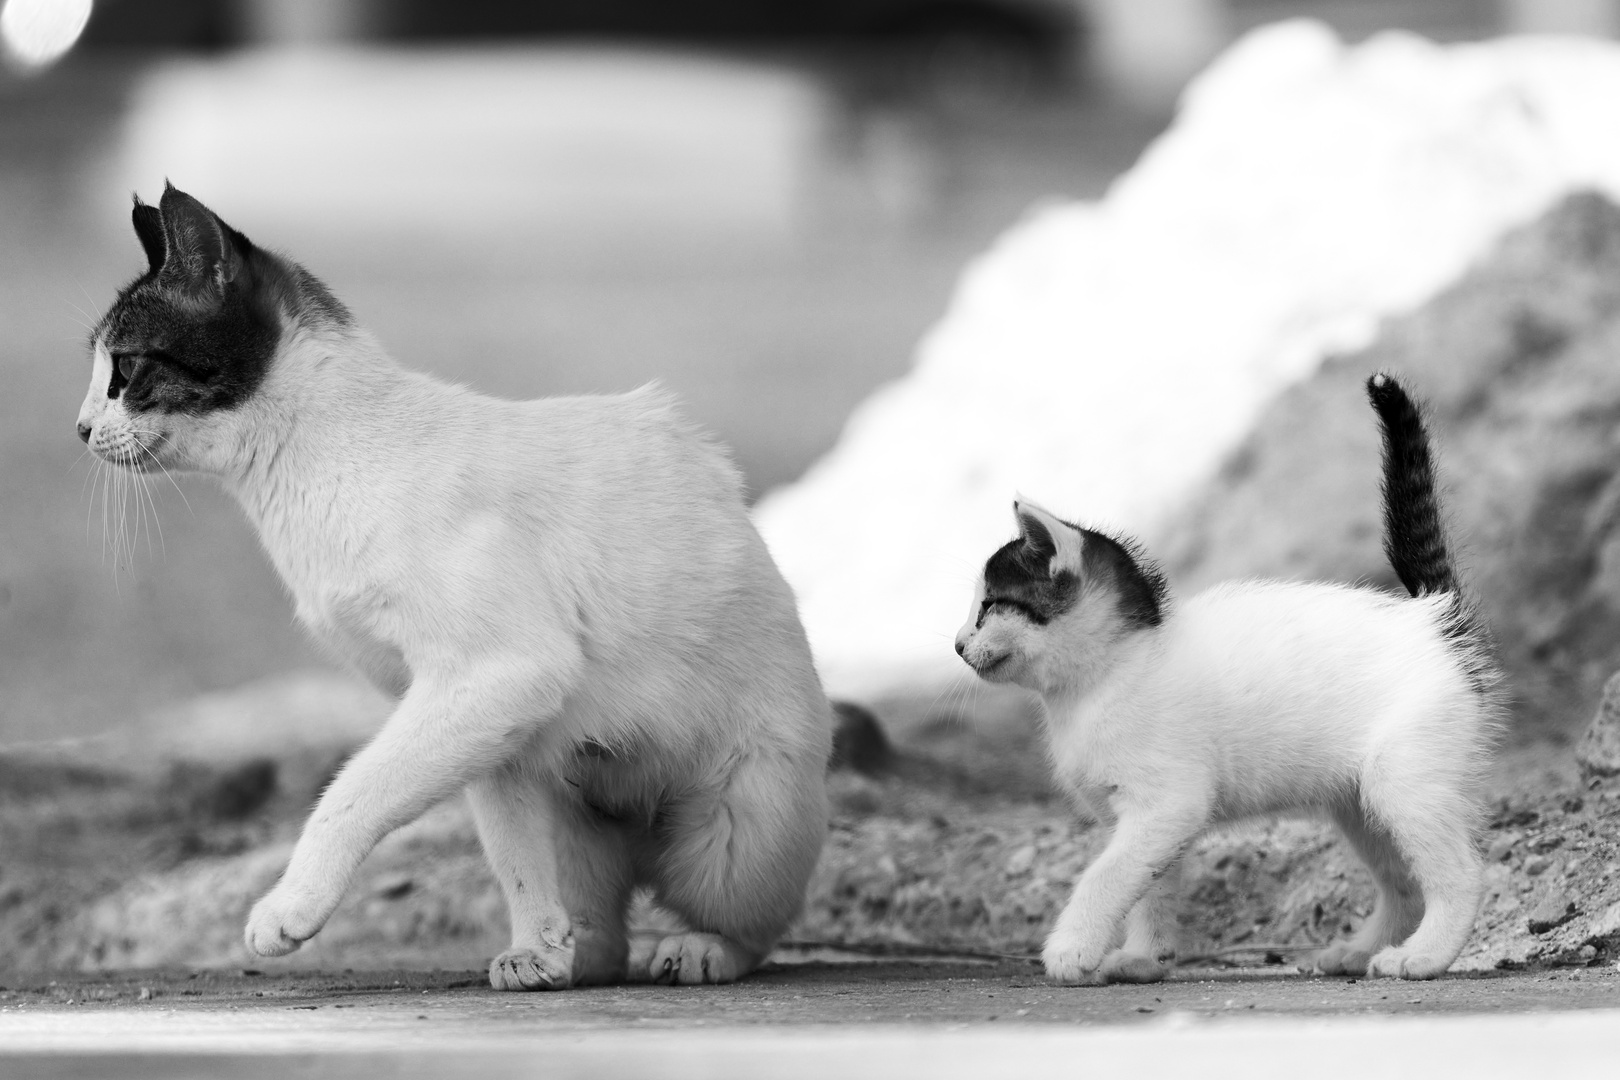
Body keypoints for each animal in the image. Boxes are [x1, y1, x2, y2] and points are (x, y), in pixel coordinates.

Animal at [76, 183, 829, 990]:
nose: (81, 428)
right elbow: (517, 863)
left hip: (731, 832)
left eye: (125, 367)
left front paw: (288, 911)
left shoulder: (495, 675)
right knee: (599, 920)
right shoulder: (493, 733)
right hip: (555, 783)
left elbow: (348, 793)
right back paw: (567, 957)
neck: (313, 469)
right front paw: (539, 949)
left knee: (752, 922)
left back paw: (700, 949)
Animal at [952, 375, 1496, 984]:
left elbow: (1105, 876)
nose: (958, 644)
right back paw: (1362, 951)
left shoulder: (1167, 803)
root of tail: (1431, 616)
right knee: (1403, 882)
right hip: (1361, 803)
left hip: (1404, 780)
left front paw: (1072, 949)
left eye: (989, 606)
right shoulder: (1147, 821)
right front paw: (1144, 959)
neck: (1108, 675)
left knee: (1459, 873)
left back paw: (1422, 956)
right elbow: (1150, 889)